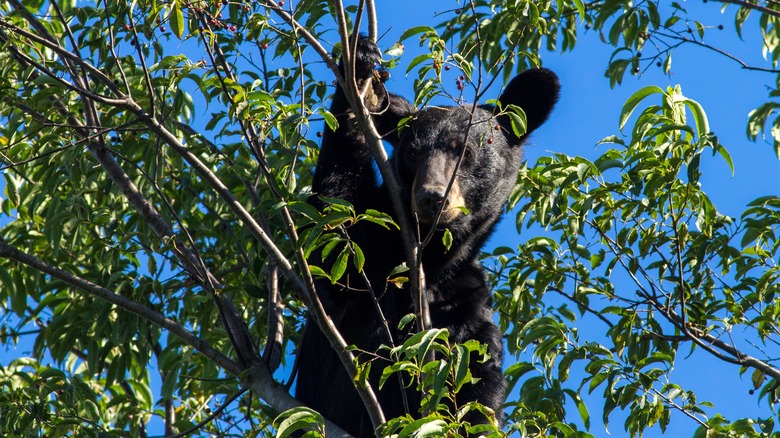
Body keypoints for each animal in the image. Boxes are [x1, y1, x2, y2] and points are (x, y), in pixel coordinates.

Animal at [296, 39, 556, 436]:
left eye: (464, 150)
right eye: (412, 152)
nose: (431, 197)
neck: (430, 259)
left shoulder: (464, 300)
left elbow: (478, 379)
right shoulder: (373, 257)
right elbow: (335, 244)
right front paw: (361, 74)